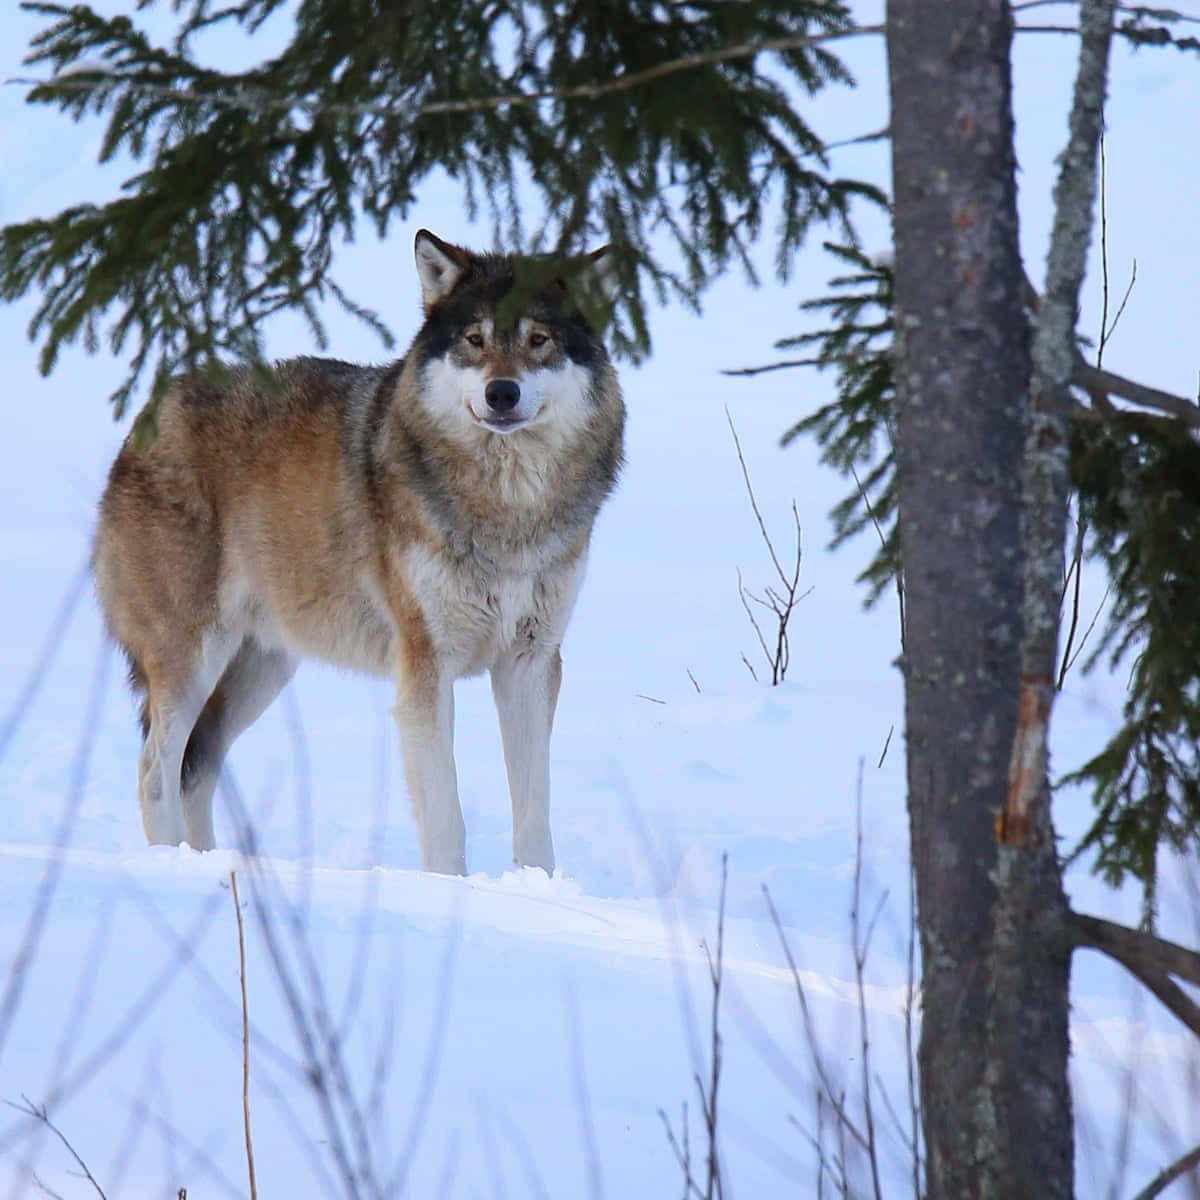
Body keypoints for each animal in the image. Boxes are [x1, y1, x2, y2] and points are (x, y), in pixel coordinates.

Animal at [92, 230, 625, 875]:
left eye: (538, 341)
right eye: (474, 341)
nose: (502, 393)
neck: (507, 510)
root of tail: (144, 416)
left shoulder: (531, 661)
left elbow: (534, 817)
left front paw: (534, 889)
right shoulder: (424, 665)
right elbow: (445, 816)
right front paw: (450, 890)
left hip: (263, 669)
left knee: (196, 770)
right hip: (193, 660)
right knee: (154, 771)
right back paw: (173, 865)